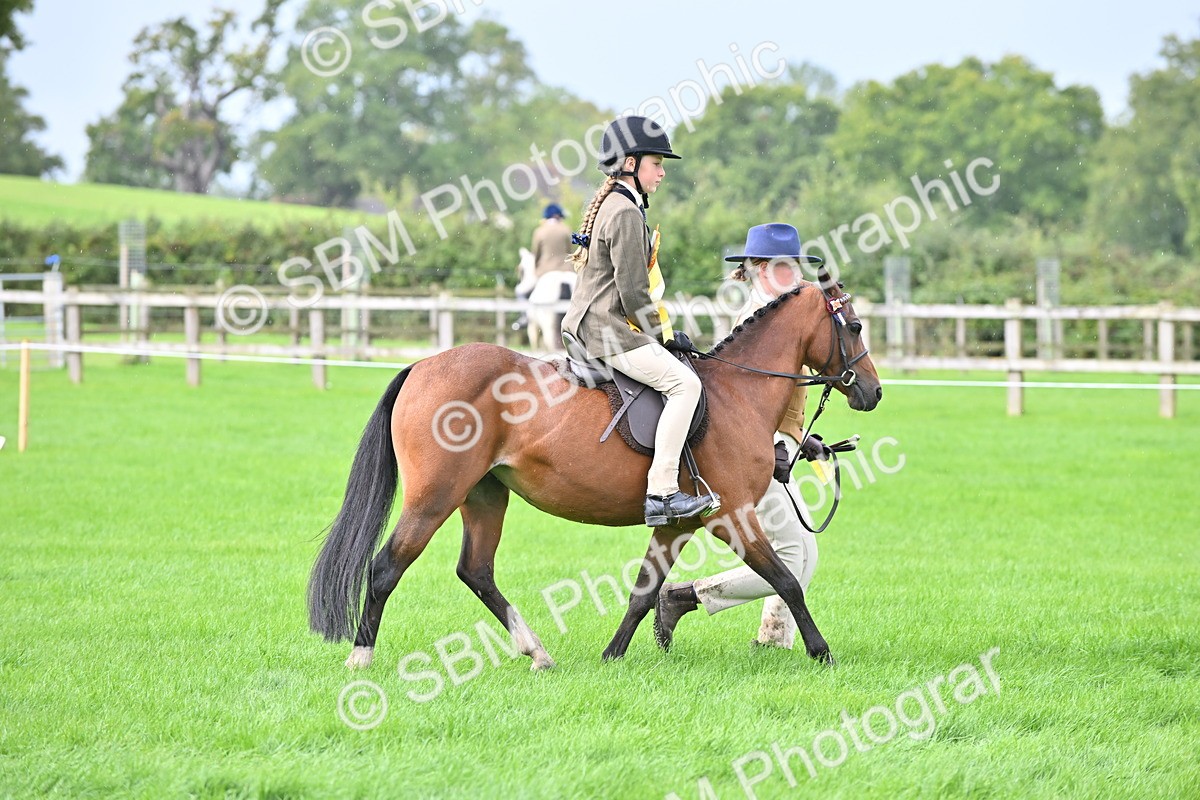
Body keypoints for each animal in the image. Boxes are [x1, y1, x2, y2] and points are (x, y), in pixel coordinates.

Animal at [307, 275, 882, 671]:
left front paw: (614, 654)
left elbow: (644, 592)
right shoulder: (734, 517)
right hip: (435, 496)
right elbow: (786, 581)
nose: (873, 392)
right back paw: (360, 657)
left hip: (484, 496)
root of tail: (422, 366)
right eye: (854, 326)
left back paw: (536, 652)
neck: (735, 393)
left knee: (476, 571)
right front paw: (822, 652)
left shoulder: (676, 524)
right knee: (387, 567)